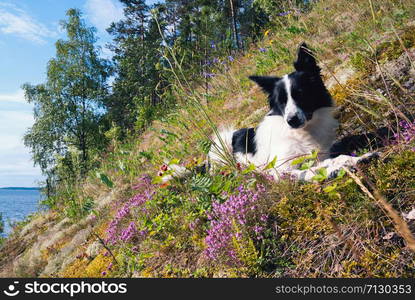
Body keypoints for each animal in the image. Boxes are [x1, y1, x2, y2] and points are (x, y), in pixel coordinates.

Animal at [208, 42, 374, 180]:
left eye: (301, 94)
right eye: (281, 102)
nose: (292, 120)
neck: (303, 133)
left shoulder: (318, 155)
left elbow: (332, 159)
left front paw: (357, 158)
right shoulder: (279, 169)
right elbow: (310, 170)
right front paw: (334, 169)